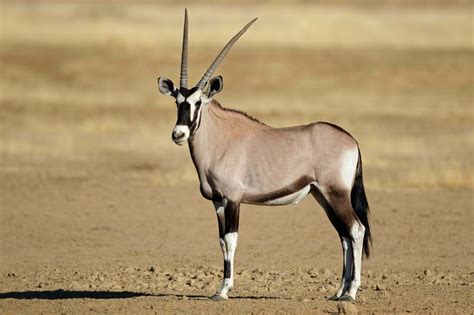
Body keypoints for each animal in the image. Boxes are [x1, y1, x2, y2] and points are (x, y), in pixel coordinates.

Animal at [157, 8, 372, 302]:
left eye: (198, 102)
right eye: (178, 102)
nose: (178, 133)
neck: (221, 139)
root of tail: (351, 140)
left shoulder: (233, 199)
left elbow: (231, 240)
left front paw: (223, 290)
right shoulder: (217, 201)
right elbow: (221, 241)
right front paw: (218, 288)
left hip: (336, 193)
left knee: (356, 230)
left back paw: (350, 293)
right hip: (323, 196)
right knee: (344, 236)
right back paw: (337, 292)